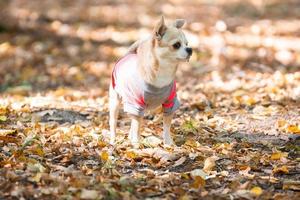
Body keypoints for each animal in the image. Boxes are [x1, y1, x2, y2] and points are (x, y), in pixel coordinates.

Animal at [109, 16, 192, 147]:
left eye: (187, 44)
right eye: (176, 45)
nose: (190, 49)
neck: (163, 72)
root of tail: (128, 55)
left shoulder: (170, 104)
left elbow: (166, 126)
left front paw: (168, 143)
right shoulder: (137, 104)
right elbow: (137, 126)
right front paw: (136, 144)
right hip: (116, 102)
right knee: (114, 123)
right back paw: (113, 141)